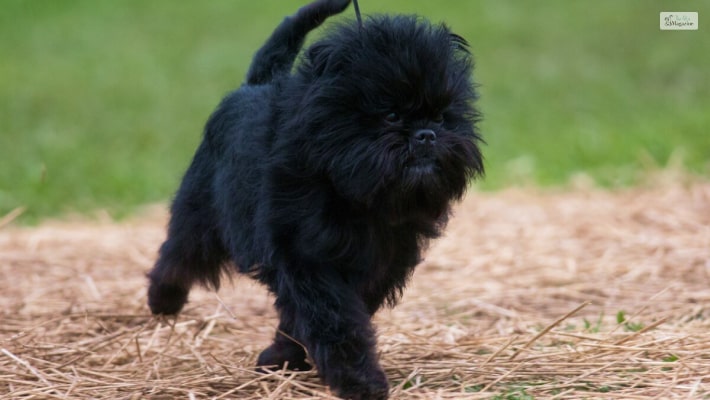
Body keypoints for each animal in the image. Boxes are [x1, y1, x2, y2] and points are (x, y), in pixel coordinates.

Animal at [149, 1, 484, 398]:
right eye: (391, 115)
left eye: (441, 116)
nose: (427, 134)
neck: (354, 193)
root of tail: (256, 83)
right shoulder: (306, 258)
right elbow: (334, 321)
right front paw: (359, 380)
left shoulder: (379, 265)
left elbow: (312, 319)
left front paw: (282, 358)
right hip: (201, 210)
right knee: (180, 252)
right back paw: (163, 300)